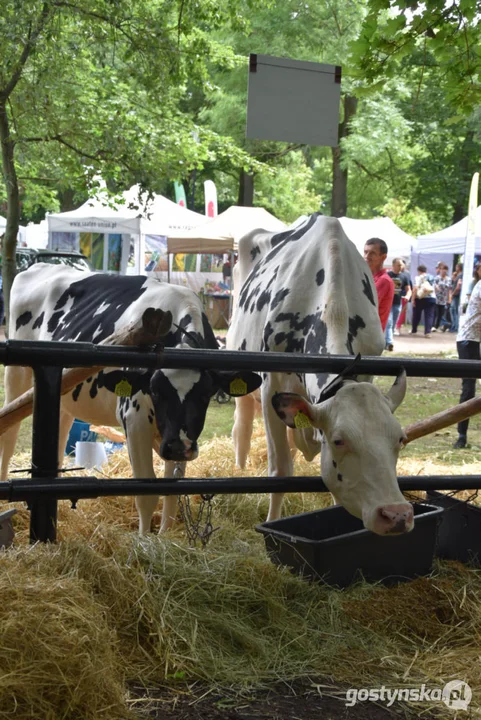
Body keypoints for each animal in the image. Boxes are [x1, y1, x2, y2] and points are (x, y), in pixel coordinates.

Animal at [0, 266, 260, 536]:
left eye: (205, 393)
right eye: (155, 390)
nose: (178, 447)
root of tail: (40, 267)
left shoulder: (179, 437)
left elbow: (172, 492)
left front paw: (165, 537)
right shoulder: (135, 421)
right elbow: (146, 494)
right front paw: (144, 541)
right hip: (16, 376)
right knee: (9, 435)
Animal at [226, 214, 412, 536]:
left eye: (400, 438)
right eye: (339, 441)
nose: (397, 514)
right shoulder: (271, 384)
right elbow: (280, 470)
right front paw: (272, 524)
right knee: (243, 424)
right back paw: (240, 466)